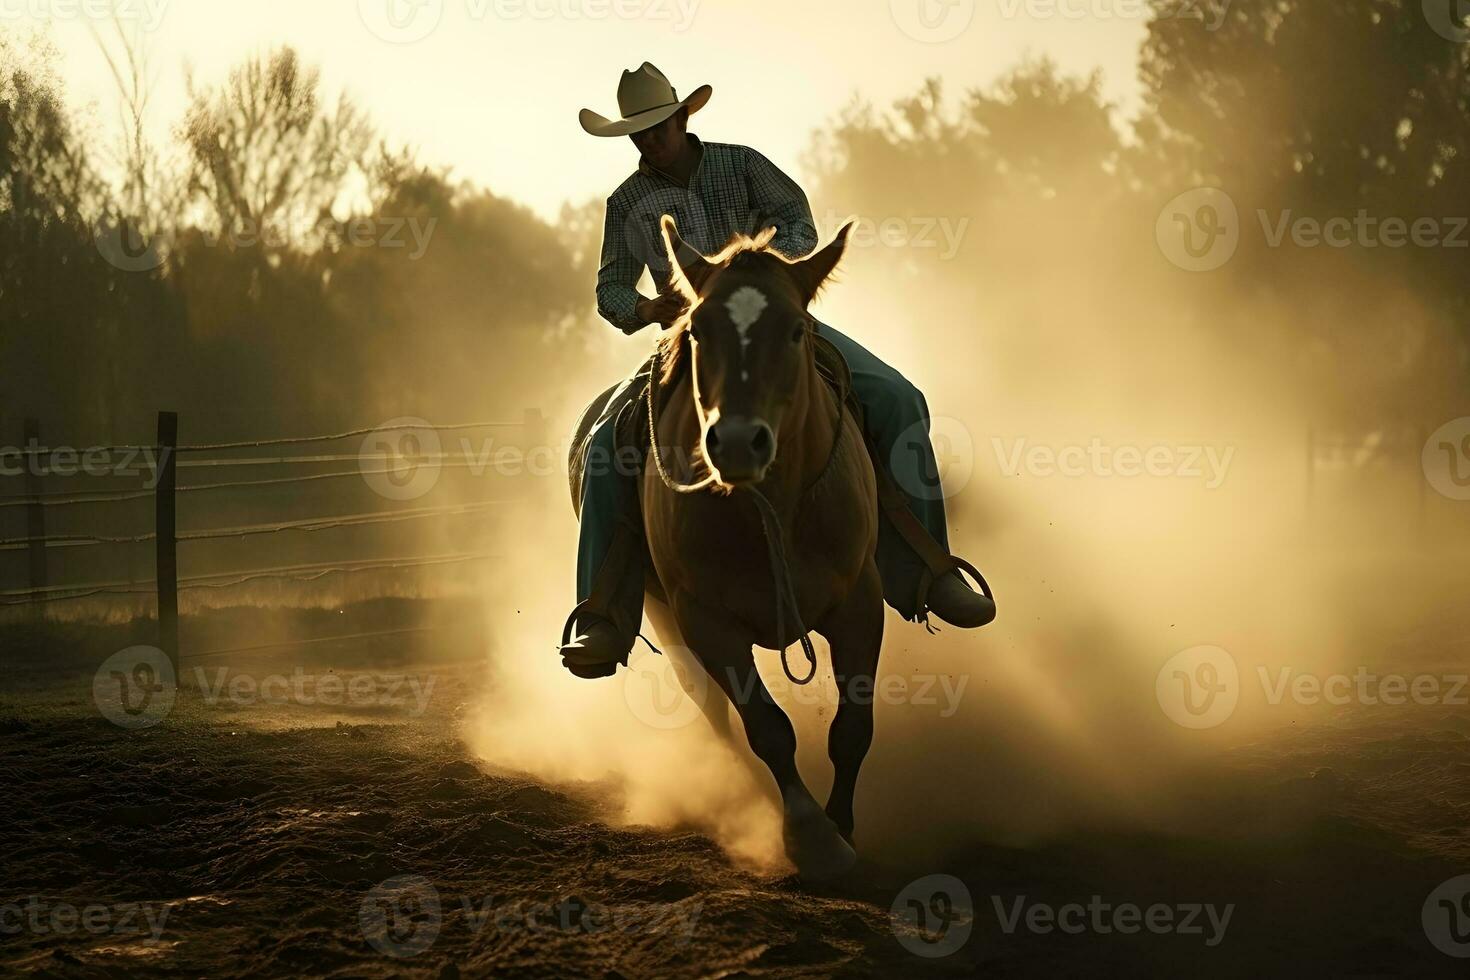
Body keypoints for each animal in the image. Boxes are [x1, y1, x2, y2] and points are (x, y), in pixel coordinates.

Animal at [629, 215, 876, 881]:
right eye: (698, 330)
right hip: (666, 620)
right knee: (715, 714)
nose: (738, 443)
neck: (775, 513)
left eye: (795, 329)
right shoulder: (706, 621)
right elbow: (767, 727)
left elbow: (853, 726)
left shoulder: (859, 605)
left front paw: (844, 827)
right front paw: (813, 837)